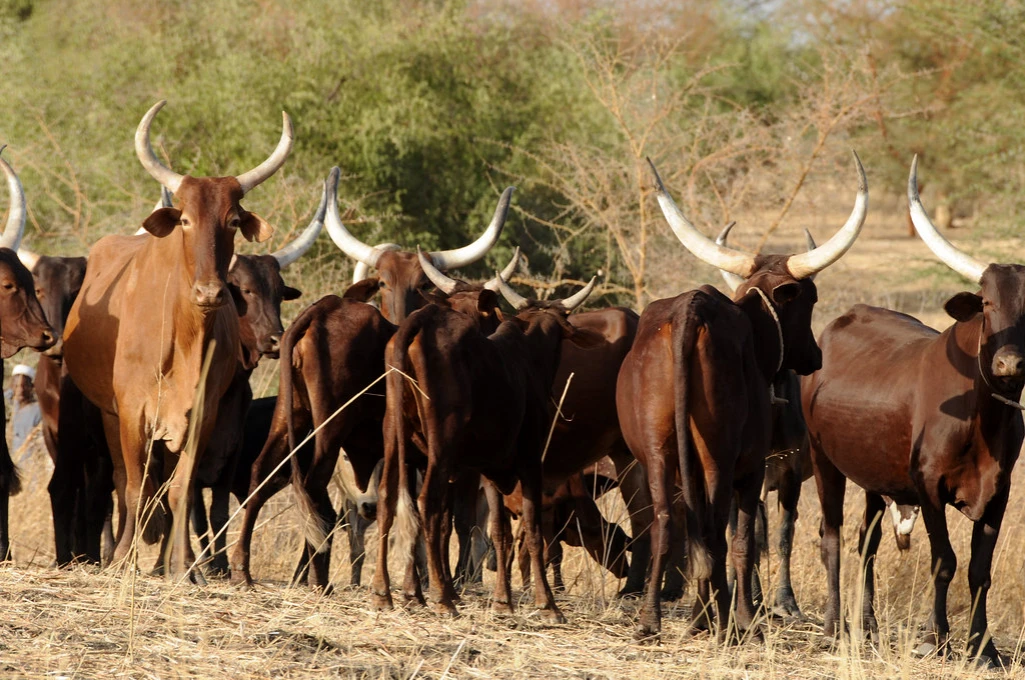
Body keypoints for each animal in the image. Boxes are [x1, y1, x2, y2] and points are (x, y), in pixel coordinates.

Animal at [63, 101, 293, 578]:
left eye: (233, 220)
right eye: (185, 220)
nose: (209, 293)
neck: (183, 341)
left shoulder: (201, 414)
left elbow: (182, 490)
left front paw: (186, 565)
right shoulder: (132, 411)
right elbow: (134, 488)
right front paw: (123, 561)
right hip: (110, 415)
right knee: (125, 483)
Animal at [369, 272, 598, 623]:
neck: (526, 356)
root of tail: (419, 322)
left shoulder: (491, 471)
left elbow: (500, 533)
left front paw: (503, 601)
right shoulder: (531, 463)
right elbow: (533, 531)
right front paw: (548, 604)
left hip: (395, 435)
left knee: (387, 497)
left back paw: (384, 593)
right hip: (441, 445)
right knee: (428, 504)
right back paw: (442, 598)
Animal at [615, 152, 865, 640]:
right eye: (811, 299)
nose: (814, 356)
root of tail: (691, 311)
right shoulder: (750, 469)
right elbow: (746, 538)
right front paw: (744, 616)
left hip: (656, 453)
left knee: (667, 521)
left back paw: (656, 619)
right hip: (719, 458)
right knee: (716, 529)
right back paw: (721, 620)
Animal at [803, 156, 1020, 668]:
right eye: (987, 303)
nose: (1009, 363)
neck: (984, 416)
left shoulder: (999, 492)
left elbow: (979, 571)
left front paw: (983, 647)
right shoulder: (929, 486)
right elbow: (945, 561)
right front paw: (936, 638)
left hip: (872, 475)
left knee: (866, 541)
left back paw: (867, 625)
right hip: (823, 461)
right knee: (831, 536)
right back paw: (834, 626)